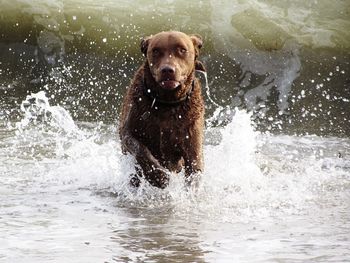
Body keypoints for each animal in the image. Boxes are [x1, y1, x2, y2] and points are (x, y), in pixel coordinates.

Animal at [119, 31, 205, 189]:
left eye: (182, 50)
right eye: (156, 51)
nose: (167, 70)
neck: (167, 103)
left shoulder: (192, 139)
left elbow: (194, 170)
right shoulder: (129, 128)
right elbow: (139, 148)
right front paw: (159, 177)